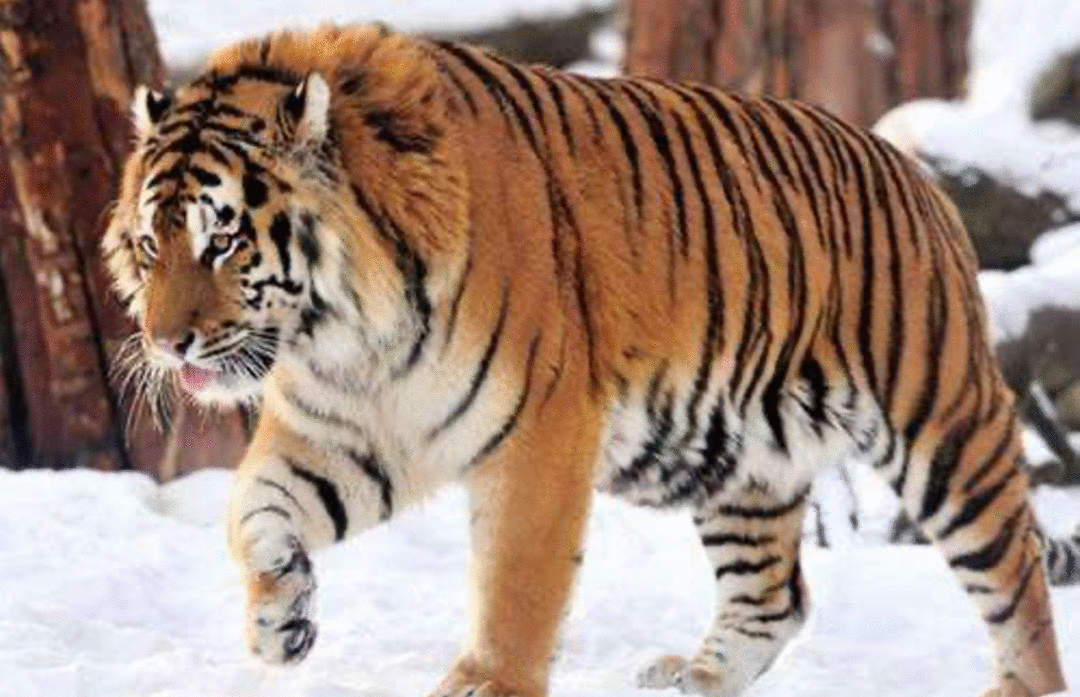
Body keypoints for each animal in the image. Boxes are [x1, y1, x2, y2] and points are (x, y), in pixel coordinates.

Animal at [101, 24, 1080, 697]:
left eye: (223, 240)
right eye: (151, 245)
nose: (167, 342)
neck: (344, 333)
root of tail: (913, 169)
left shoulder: (537, 431)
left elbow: (517, 582)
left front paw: (487, 682)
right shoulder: (342, 427)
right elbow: (253, 510)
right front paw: (280, 623)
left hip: (943, 426)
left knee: (1018, 581)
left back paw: (1016, 679)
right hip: (736, 460)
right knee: (775, 597)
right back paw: (694, 676)